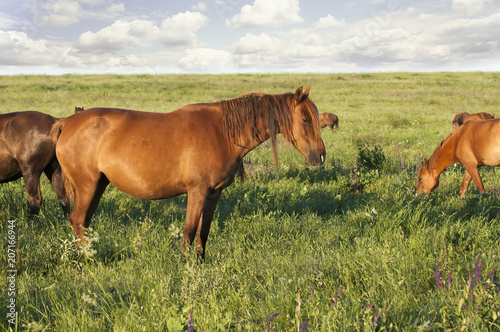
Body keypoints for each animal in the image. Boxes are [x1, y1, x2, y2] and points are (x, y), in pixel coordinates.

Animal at [52, 85, 326, 260]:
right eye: (305, 119)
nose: (321, 156)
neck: (222, 132)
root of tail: (66, 122)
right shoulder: (197, 191)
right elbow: (190, 231)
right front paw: (186, 268)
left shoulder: (213, 194)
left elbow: (204, 232)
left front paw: (200, 264)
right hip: (88, 186)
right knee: (77, 220)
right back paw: (88, 259)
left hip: (98, 186)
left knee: (84, 222)